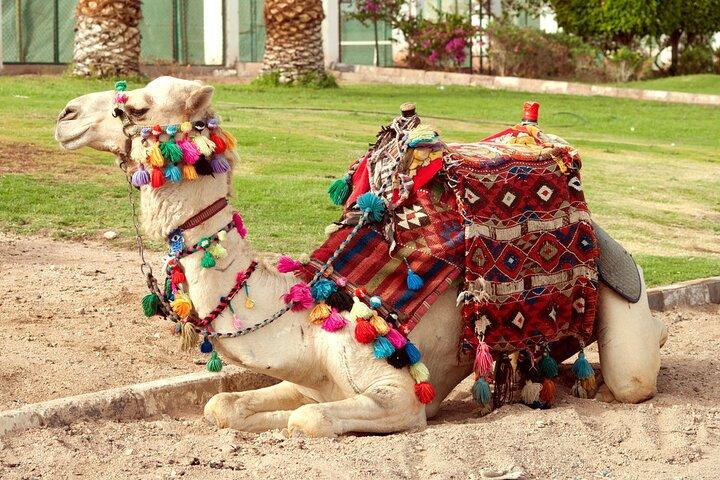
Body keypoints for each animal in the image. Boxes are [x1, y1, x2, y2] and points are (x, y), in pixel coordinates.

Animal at [54, 76, 668, 437]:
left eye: (133, 106)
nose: (65, 113)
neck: (306, 317)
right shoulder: (308, 377)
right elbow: (223, 407)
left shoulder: (402, 397)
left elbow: (307, 421)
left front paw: (283, 422)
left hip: (622, 302)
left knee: (634, 374)